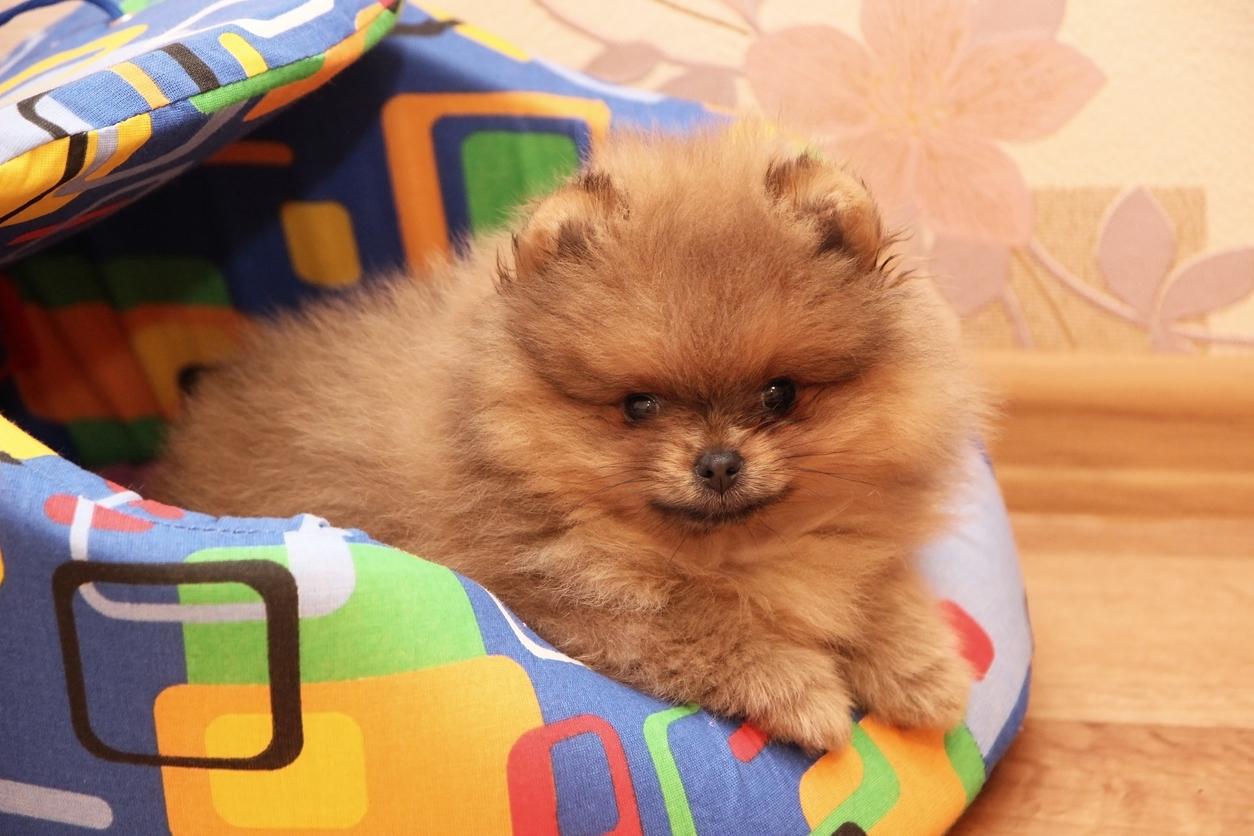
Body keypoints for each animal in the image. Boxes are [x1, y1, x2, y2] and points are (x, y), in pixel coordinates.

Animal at [154, 127, 978, 757]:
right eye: (638, 405)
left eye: (780, 394)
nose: (717, 462)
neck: (730, 551)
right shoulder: (568, 602)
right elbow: (702, 628)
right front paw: (805, 692)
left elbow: (878, 588)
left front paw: (925, 671)